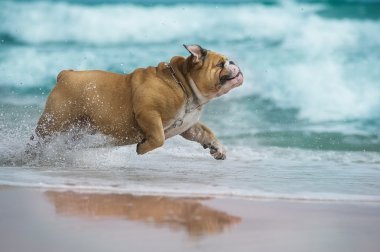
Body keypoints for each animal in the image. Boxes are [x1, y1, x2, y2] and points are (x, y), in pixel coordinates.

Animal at [35, 44, 243, 159]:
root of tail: (65, 74)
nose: (233, 62)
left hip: (75, 128)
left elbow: (206, 133)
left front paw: (217, 148)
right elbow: (158, 137)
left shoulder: (189, 125)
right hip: (54, 123)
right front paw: (142, 148)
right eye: (220, 64)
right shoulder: (147, 112)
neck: (184, 85)